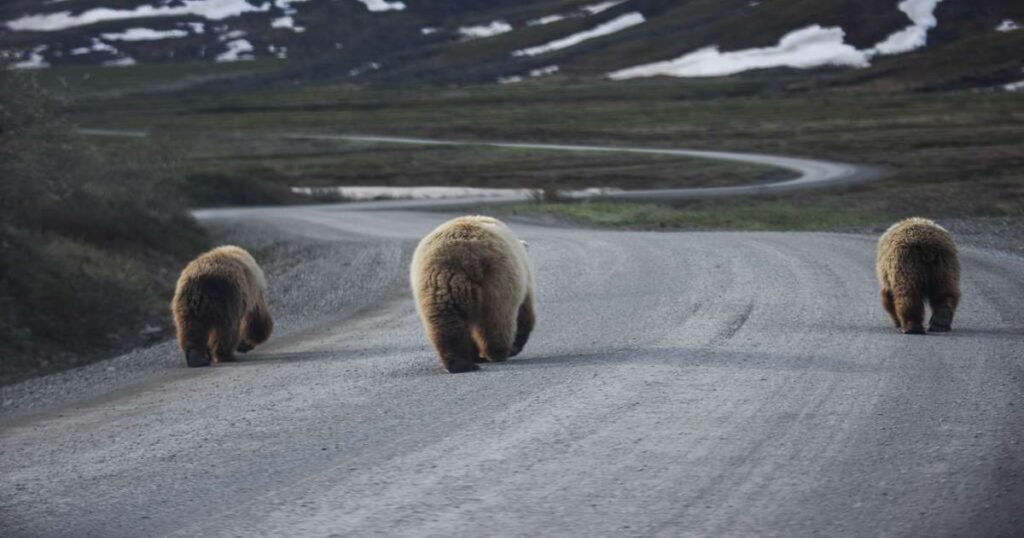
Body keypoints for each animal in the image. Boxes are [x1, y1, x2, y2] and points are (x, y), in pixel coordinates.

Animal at [407, 215, 536, 373]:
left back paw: (460, 363)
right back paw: (497, 352)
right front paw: (516, 345)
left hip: (437, 284)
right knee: (497, 318)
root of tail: (466, 255)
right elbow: (525, 311)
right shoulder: (523, 278)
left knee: (445, 320)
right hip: (498, 279)